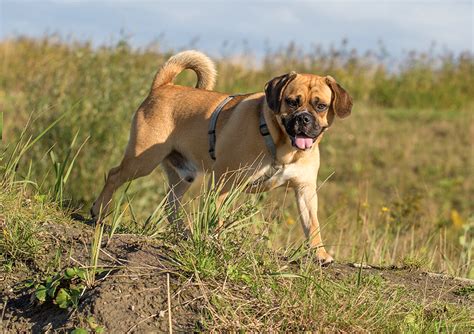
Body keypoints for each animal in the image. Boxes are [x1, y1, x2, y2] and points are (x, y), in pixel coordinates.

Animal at [92, 50, 352, 264]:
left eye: (320, 106)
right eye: (291, 102)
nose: (303, 119)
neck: (283, 147)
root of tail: (163, 86)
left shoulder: (305, 190)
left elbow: (312, 224)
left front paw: (320, 253)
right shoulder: (224, 182)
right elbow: (216, 218)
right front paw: (215, 242)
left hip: (183, 175)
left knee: (171, 204)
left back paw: (183, 232)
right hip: (142, 161)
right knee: (114, 176)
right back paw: (99, 211)